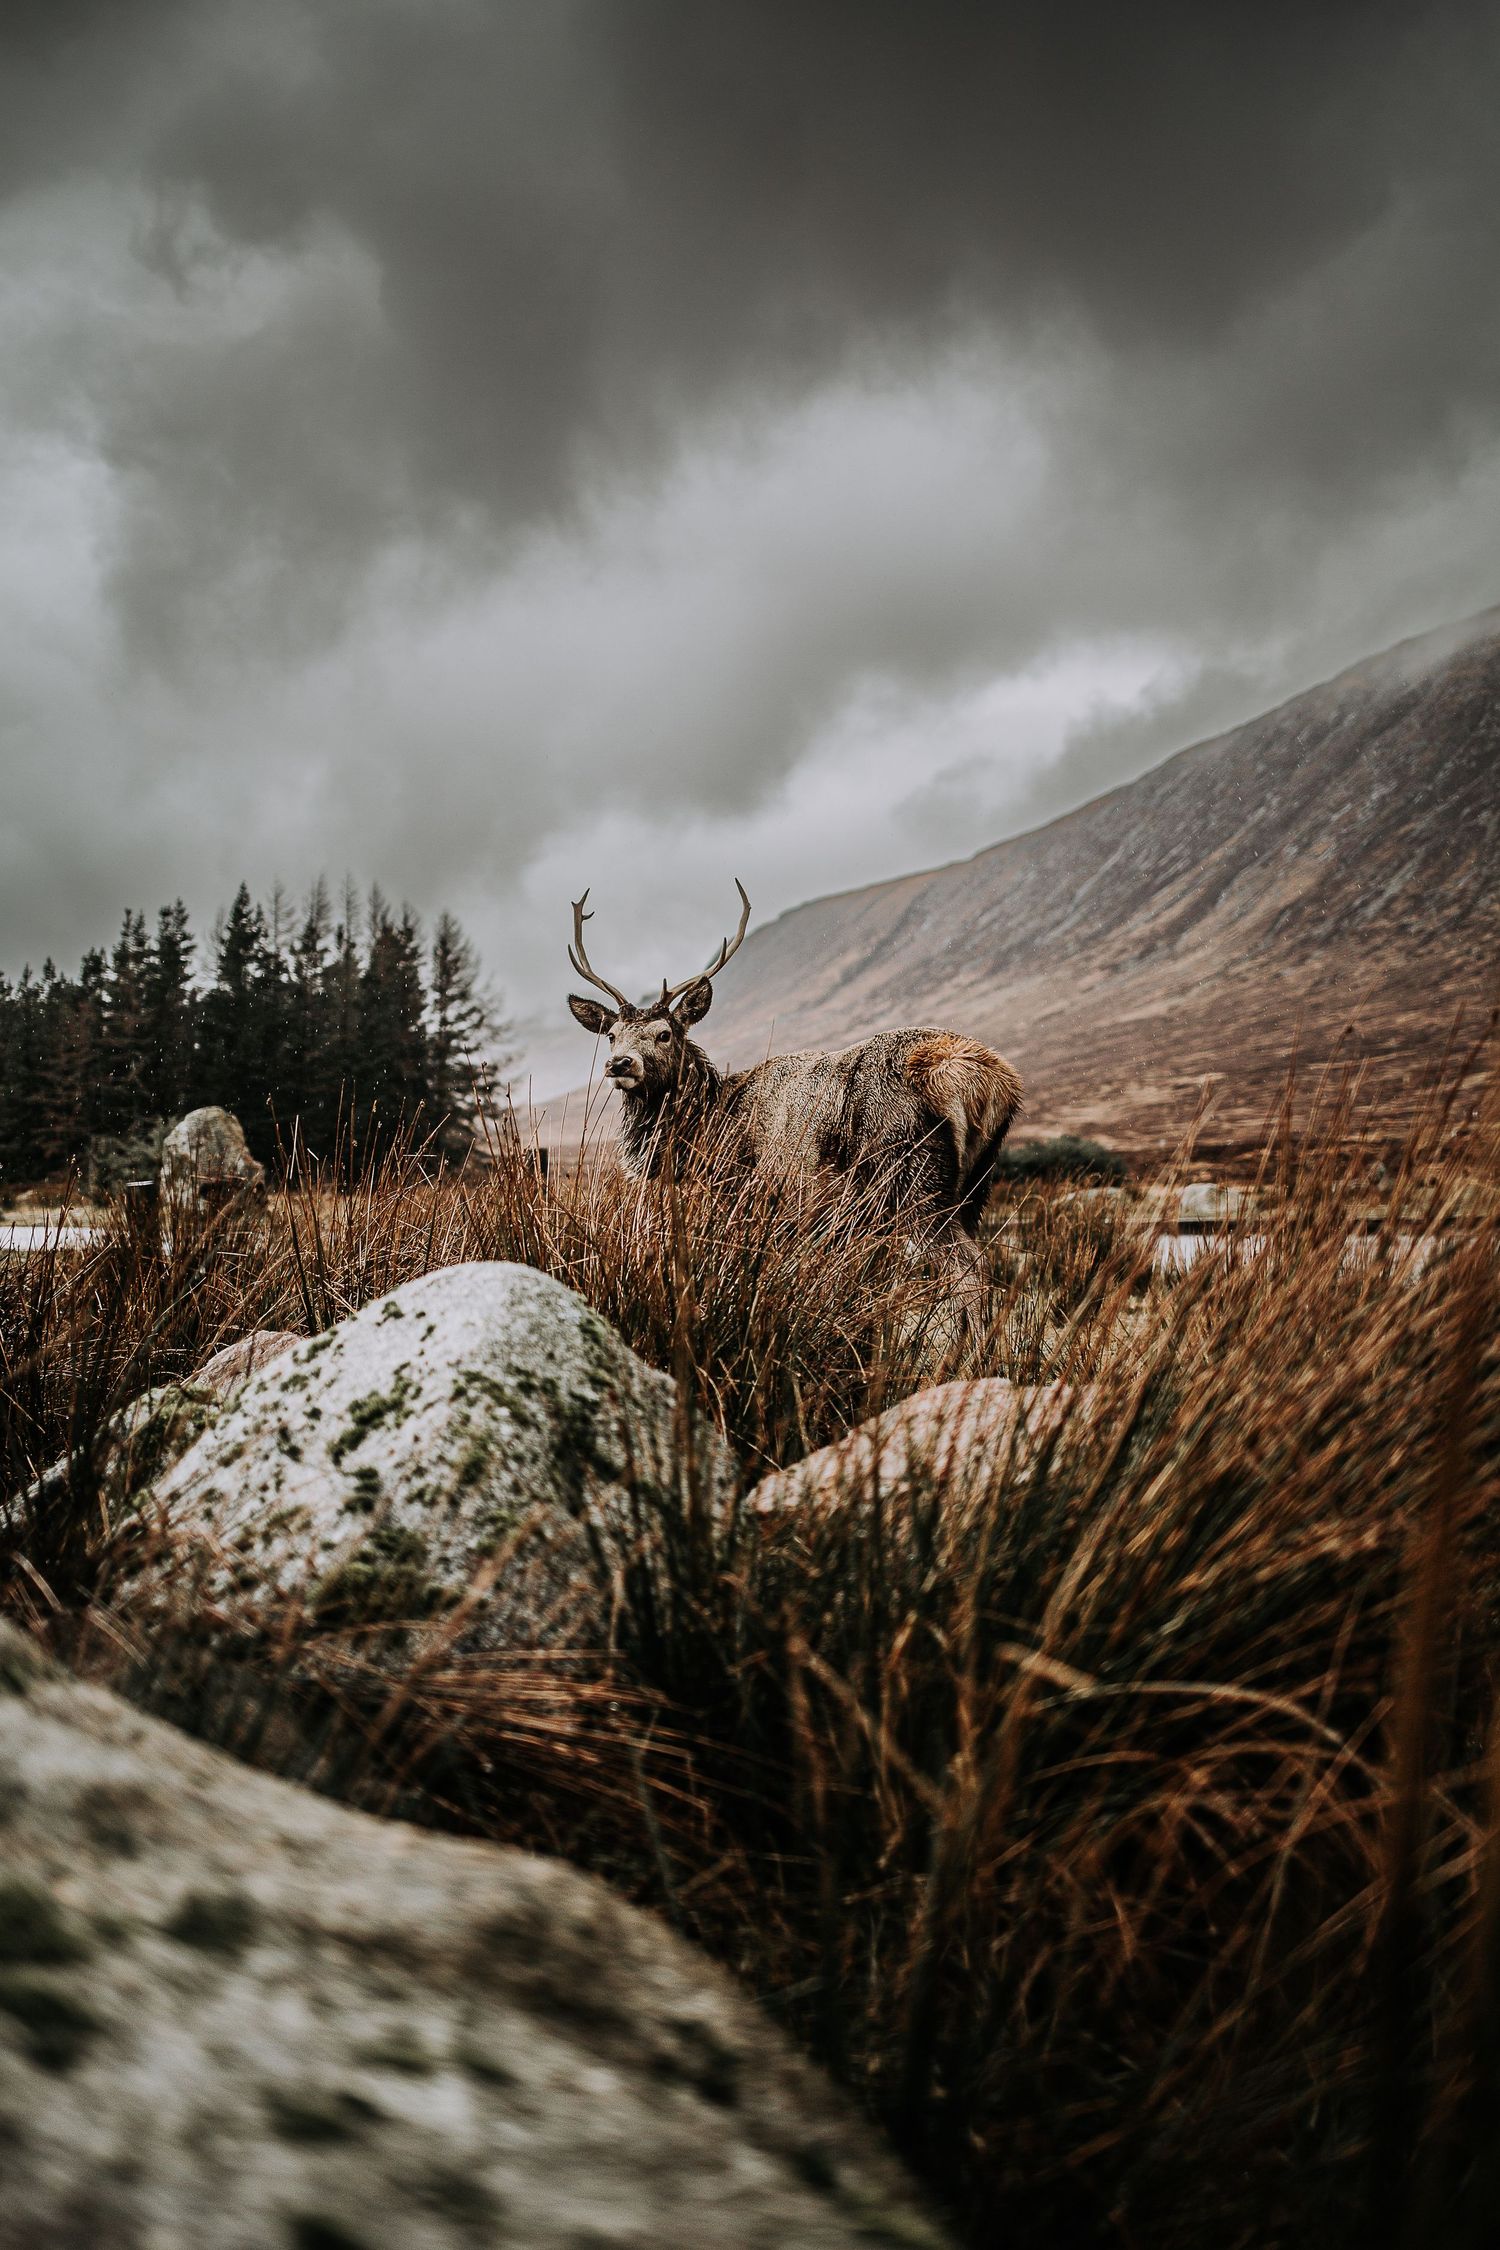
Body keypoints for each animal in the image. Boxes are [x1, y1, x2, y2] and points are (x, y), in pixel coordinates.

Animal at [566, 882, 1023, 1279]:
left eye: (664, 1033)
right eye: (611, 1035)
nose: (620, 1064)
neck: (705, 1131)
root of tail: (982, 1077)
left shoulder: (747, 1196)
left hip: (912, 1177)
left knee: (967, 1269)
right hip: (975, 1187)